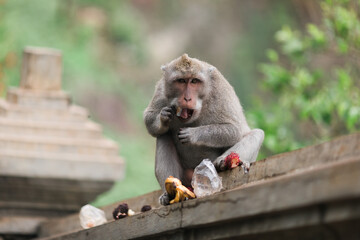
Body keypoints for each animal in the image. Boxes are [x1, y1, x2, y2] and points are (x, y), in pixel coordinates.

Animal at [143, 54, 264, 206]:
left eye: (194, 81)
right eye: (181, 81)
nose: (187, 98)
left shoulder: (220, 89)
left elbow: (234, 129)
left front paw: (193, 134)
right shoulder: (161, 88)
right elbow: (149, 120)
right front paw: (163, 117)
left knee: (257, 134)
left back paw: (223, 163)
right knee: (164, 135)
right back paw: (169, 194)